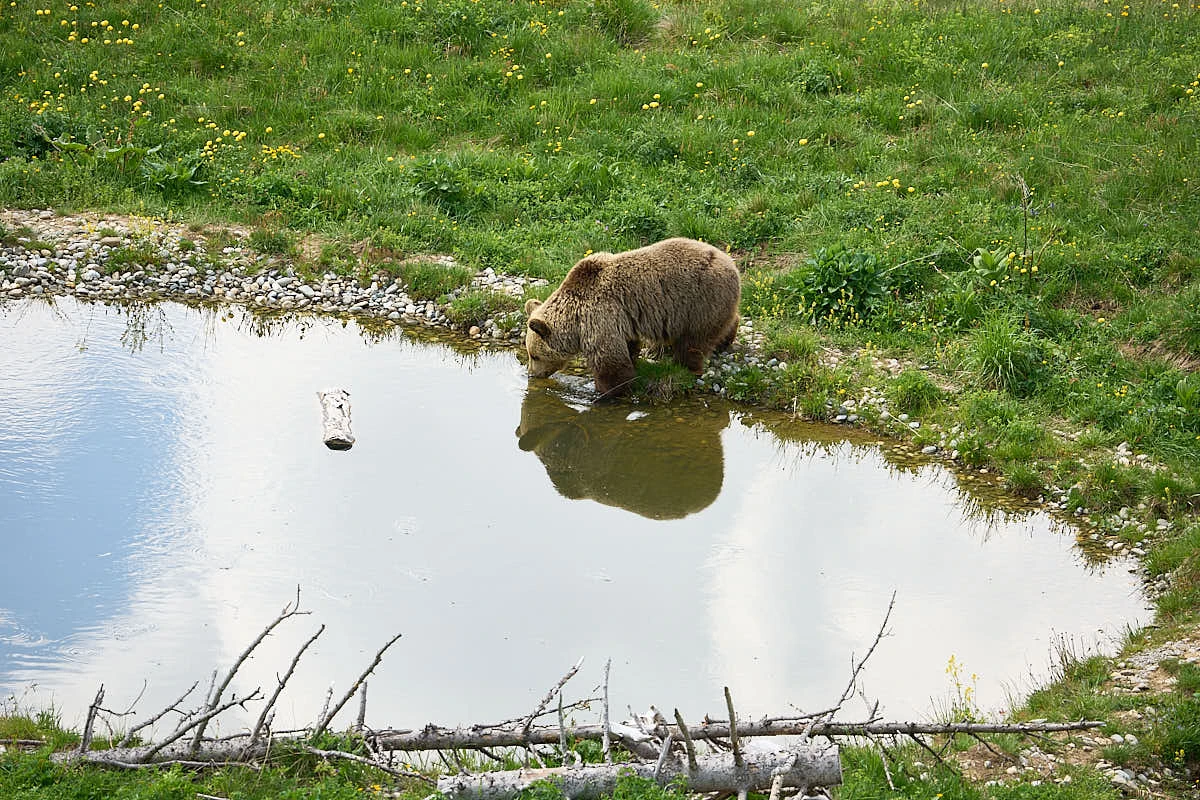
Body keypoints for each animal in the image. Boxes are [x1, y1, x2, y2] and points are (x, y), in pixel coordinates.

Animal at [524, 237, 741, 399]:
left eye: (535, 355)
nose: (532, 373)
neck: (576, 320)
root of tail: (731, 264)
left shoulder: (599, 316)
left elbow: (611, 363)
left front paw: (606, 392)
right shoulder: (621, 319)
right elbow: (627, 346)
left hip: (699, 300)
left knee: (693, 341)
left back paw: (686, 365)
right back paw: (725, 338)